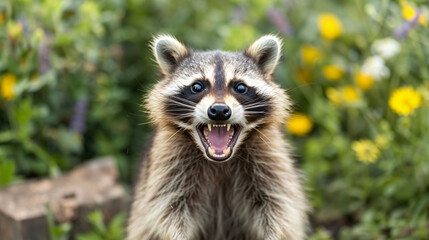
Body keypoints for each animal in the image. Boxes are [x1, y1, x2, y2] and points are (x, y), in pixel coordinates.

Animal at [127, 34, 308, 240]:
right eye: (197, 86)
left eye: (240, 87)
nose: (220, 111)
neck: (220, 162)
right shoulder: (167, 164)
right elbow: (168, 210)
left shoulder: (271, 160)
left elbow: (278, 207)